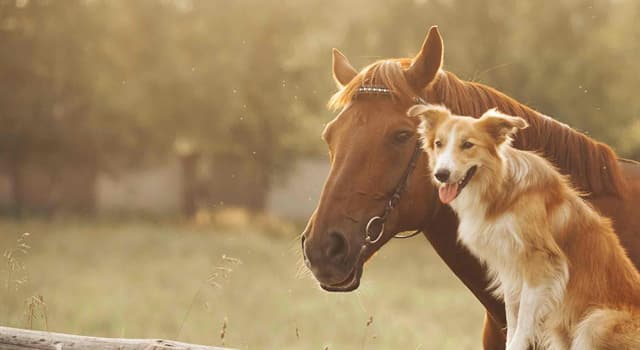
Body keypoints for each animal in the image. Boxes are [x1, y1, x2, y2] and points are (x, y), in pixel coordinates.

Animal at [408, 105, 640, 350]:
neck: (500, 189)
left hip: (595, 322)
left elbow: (524, 321)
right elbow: (513, 317)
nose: (441, 174)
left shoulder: (540, 263)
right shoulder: (509, 266)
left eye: (467, 144)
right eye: (438, 143)